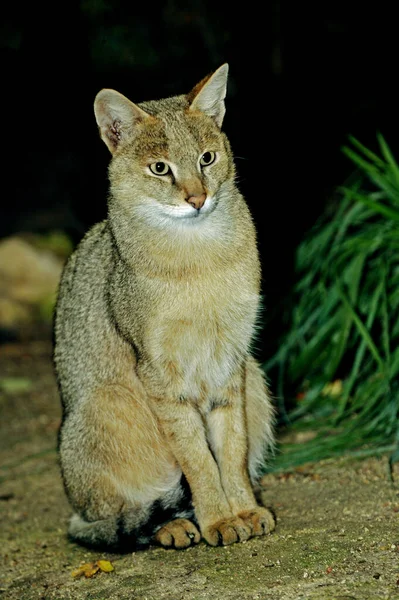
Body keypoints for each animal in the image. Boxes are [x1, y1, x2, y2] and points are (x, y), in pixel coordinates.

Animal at [54, 64, 276, 548]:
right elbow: (197, 459)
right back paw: (171, 524)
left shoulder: (230, 362)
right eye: (160, 169)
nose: (197, 199)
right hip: (106, 403)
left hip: (256, 380)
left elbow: (230, 452)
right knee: (121, 518)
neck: (199, 260)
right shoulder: (161, 375)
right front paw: (217, 519)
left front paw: (243, 509)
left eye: (207, 159)